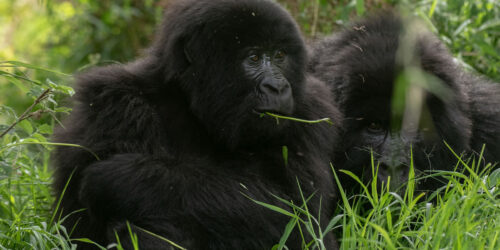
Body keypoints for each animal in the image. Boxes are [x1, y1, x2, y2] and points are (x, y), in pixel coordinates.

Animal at [52, 0, 342, 249]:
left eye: (280, 55)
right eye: (254, 58)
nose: (278, 87)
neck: (192, 105)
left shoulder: (311, 110)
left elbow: (301, 217)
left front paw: (119, 178)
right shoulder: (116, 102)